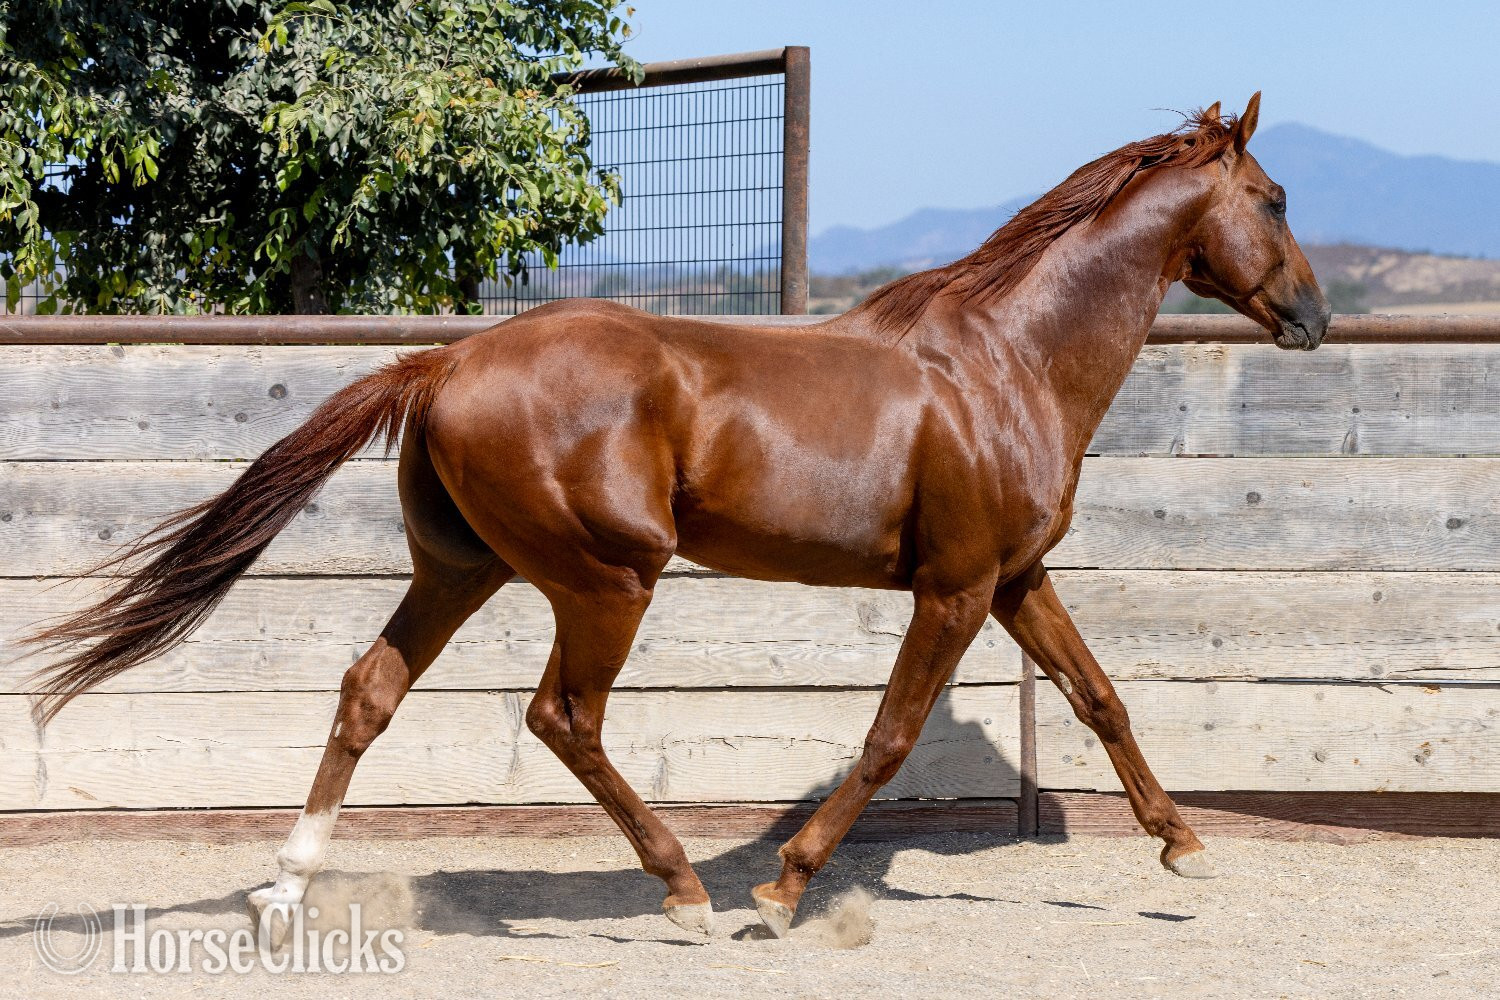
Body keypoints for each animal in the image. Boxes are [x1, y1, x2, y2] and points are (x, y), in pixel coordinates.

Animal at [26, 92, 1328, 939]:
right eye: (1272, 198)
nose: (1312, 317)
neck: (1005, 366)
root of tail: (443, 362)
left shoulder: (1015, 579)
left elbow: (1101, 696)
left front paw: (1183, 845)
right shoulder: (954, 587)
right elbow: (890, 736)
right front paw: (783, 889)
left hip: (462, 570)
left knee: (370, 690)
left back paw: (286, 891)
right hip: (607, 579)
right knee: (563, 717)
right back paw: (686, 889)